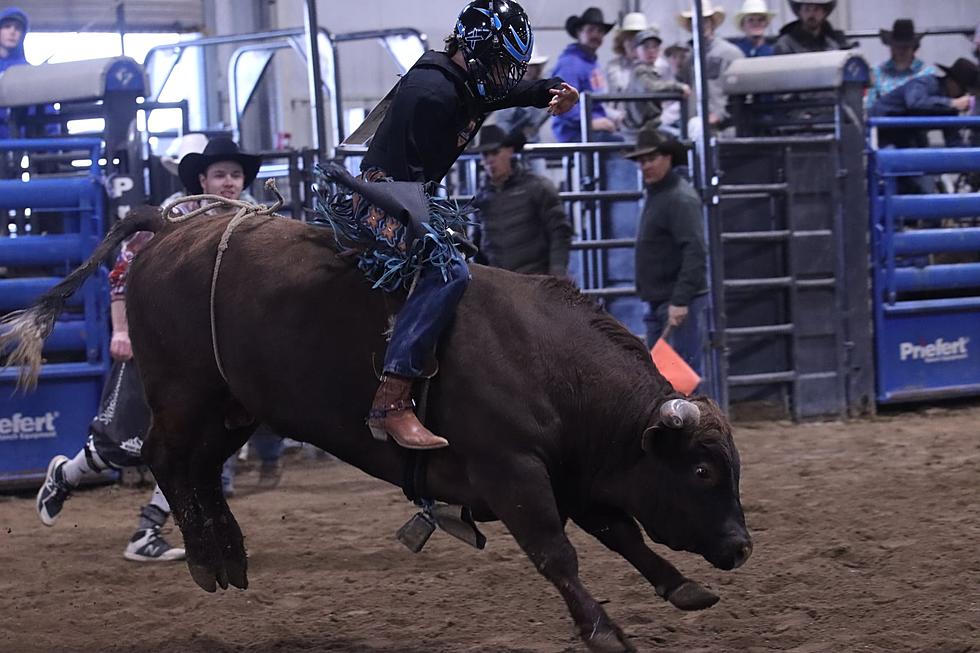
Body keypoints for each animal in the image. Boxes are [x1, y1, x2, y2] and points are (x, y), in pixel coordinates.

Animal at [1, 209, 752, 652]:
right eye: (701, 470)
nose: (741, 546)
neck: (544, 361)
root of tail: (173, 228)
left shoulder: (577, 471)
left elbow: (622, 531)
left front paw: (682, 586)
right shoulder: (512, 470)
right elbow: (556, 553)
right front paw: (603, 628)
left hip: (235, 407)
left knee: (195, 469)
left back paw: (229, 555)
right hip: (185, 394)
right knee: (162, 455)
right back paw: (206, 558)